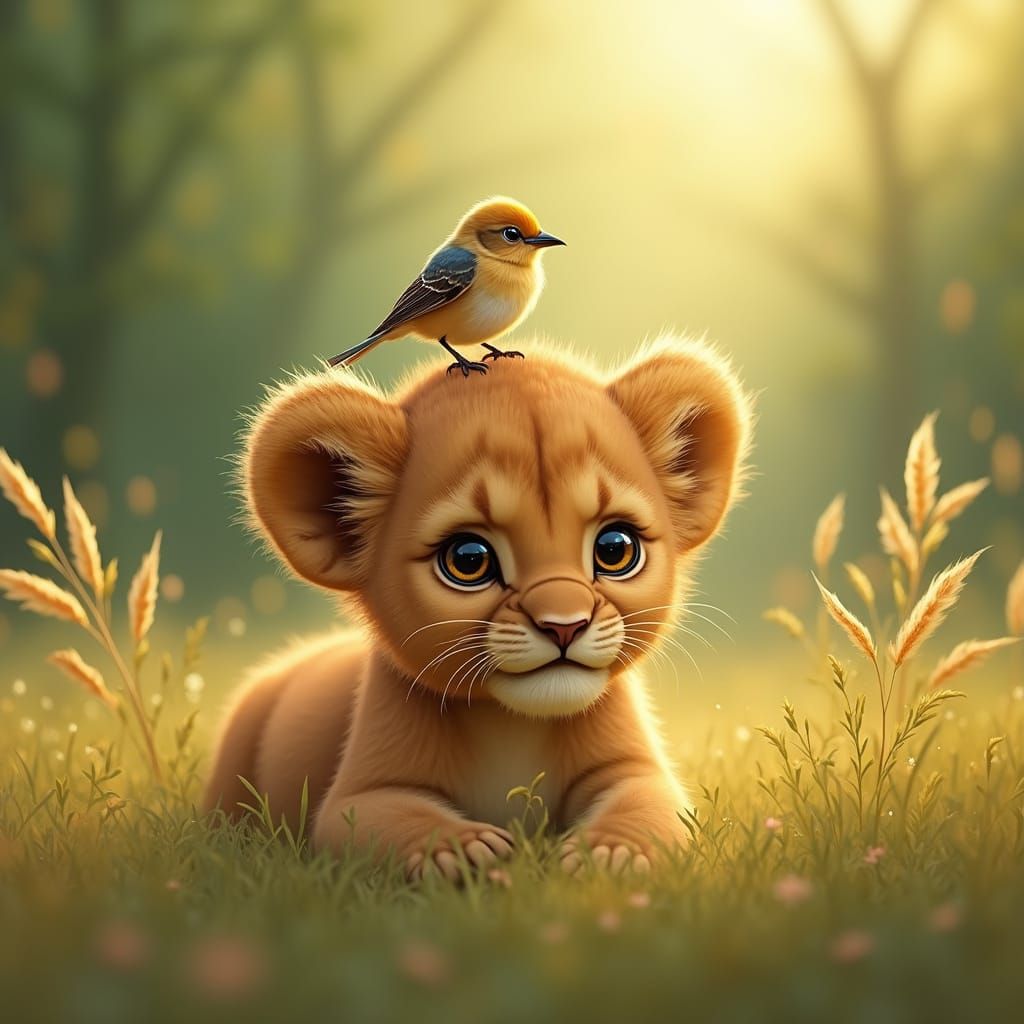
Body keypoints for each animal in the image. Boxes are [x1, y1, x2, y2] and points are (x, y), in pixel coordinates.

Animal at [203, 335, 752, 879]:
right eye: (469, 559)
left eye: (615, 549)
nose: (565, 626)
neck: (512, 725)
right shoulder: (358, 797)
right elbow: (386, 819)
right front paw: (464, 851)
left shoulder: (635, 769)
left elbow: (649, 806)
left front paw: (613, 854)